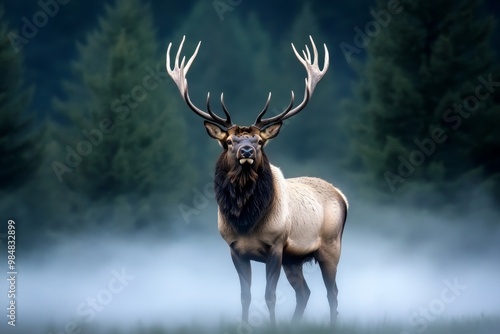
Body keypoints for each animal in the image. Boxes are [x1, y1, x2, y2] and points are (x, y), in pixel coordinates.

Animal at [167, 35, 348, 324]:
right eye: (230, 141)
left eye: (259, 141)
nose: (247, 151)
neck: (246, 222)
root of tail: (341, 195)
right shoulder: (235, 250)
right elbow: (245, 296)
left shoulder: (276, 246)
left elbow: (269, 295)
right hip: (294, 259)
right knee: (305, 292)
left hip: (331, 247)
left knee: (333, 293)